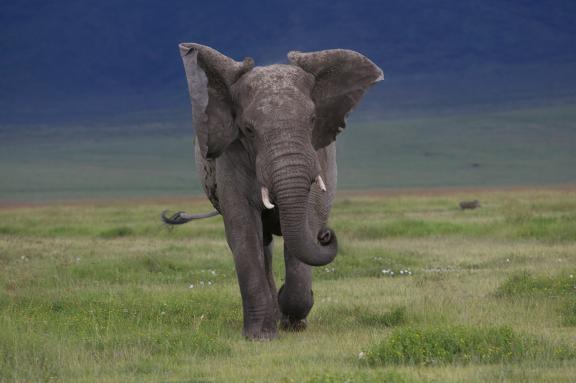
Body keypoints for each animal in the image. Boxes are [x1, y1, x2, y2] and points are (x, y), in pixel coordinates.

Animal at [162, 43, 382, 340]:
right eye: (248, 129)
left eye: (312, 119)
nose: (326, 235)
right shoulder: (230, 156)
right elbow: (243, 230)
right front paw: (260, 335)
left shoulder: (319, 154)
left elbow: (307, 220)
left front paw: (293, 320)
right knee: (262, 244)